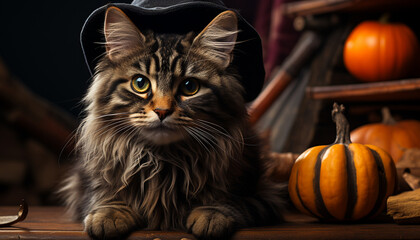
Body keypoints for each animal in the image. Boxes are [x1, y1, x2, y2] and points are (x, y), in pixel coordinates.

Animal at [60, 4, 286, 240]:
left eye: (190, 87)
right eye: (140, 83)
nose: (162, 111)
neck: (163, 160)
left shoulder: (264, 195)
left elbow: (230, 201)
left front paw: (211, 215)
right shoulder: (83, 188)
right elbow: (104, 196)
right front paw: (108, 215)